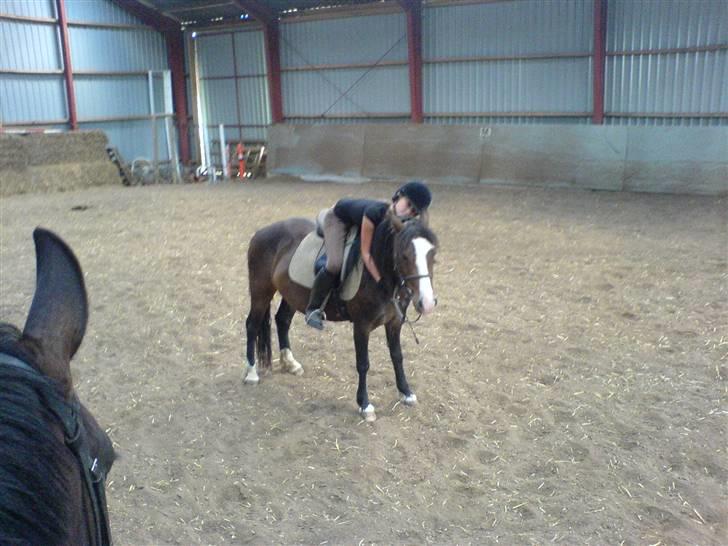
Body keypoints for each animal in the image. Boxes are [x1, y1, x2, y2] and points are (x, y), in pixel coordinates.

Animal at [244, 211, 438, 422]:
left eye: (433, 254)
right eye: (404, 255)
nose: (427, 303)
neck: (378, 274)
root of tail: (261, 232)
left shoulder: (394, 322)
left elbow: (397, 356)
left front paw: (406, 392)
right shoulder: (362, 326)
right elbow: (363, 364)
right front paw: (364, 404)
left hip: (291, 293)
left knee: (282, 321)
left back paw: (290, 363)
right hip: (261, 290)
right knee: (252, 325)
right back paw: (251, 373)